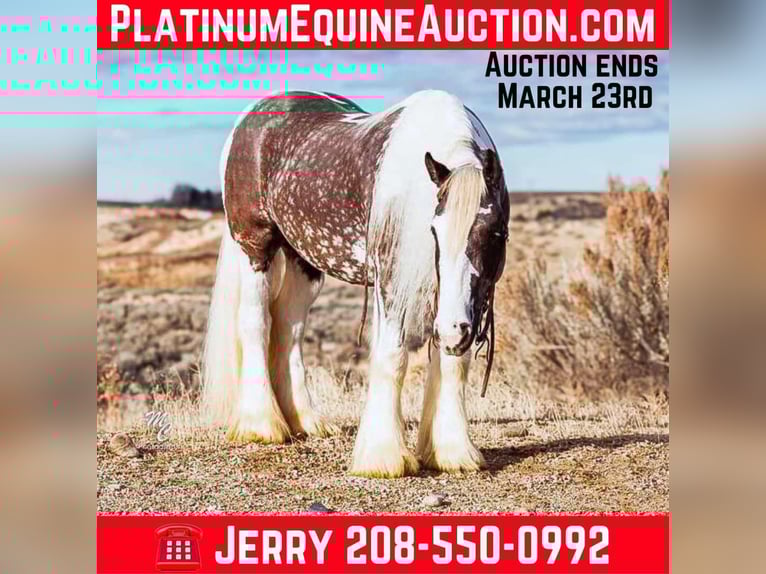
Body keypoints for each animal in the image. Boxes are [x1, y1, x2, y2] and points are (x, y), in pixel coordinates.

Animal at [202, 90, 509, 478]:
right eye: (435, 231)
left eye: (495, 233)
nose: (454, 330)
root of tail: (251, 115)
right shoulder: (390, 279)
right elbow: (392, 358)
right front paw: (383, 457)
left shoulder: (465, 300)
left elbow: (454, 362)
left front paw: (452, 452)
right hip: (255, 247)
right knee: (256, 324)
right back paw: (262, 425)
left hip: (305, 262)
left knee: (289, 330)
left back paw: (305, 421)